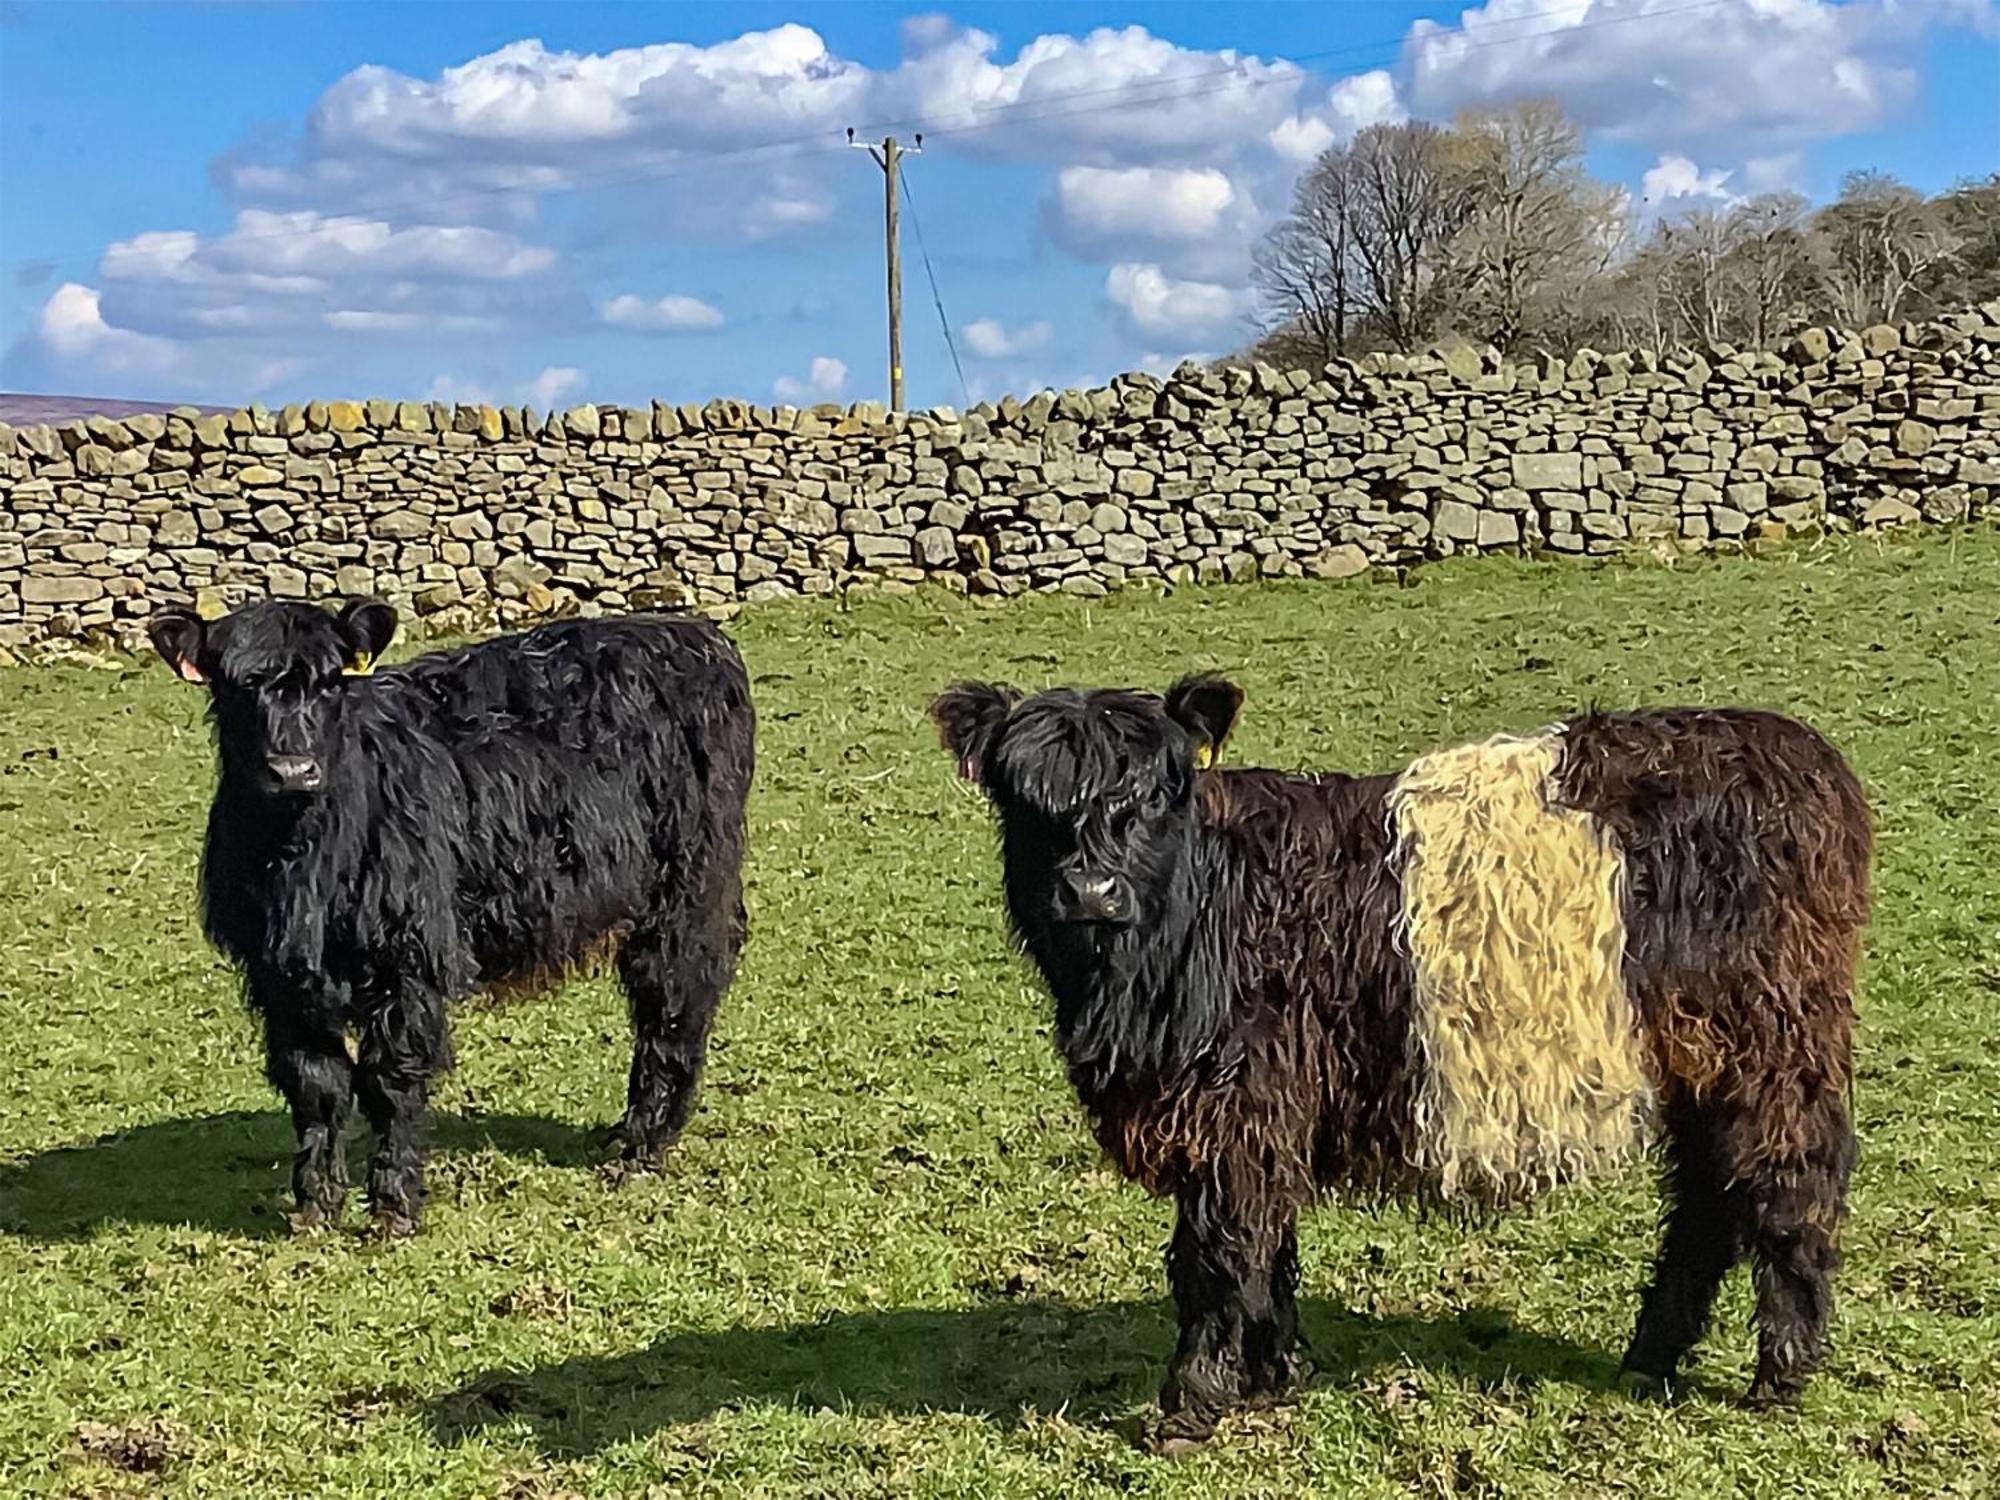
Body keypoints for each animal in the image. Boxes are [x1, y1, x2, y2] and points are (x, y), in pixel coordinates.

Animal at [148, 604, 752, 1240]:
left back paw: (641, 1144)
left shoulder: (410, 958)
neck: (302, 862)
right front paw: (315, 1206)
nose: (294, 769)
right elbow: (316, 1085)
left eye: (333, 681)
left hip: (687, 892)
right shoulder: (280, 979)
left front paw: (392, 1206)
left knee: (675, 1003)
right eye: (239, 684)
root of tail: (689, 632)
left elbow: (389, 1081)